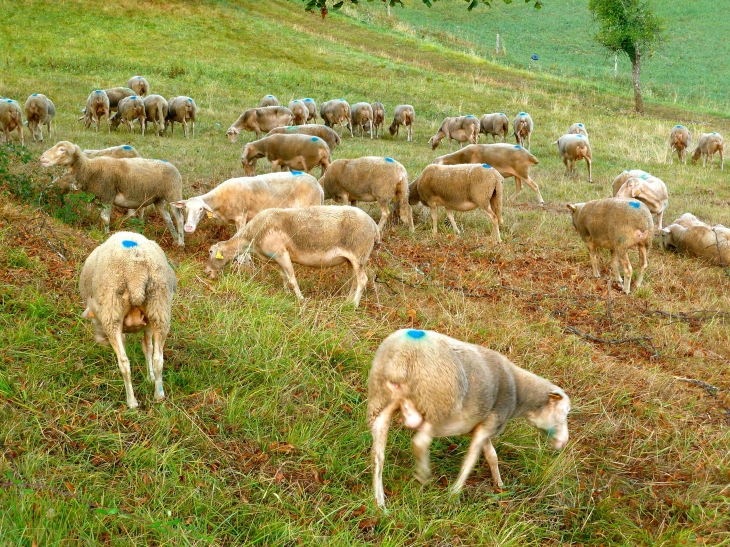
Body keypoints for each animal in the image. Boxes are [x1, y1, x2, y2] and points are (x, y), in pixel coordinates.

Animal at [39, 140, 185, 245]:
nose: (42, 157)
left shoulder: (107, 196)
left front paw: (105, 235)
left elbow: (105, 219)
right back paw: (175, 239)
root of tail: (172, 166)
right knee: (168, 219)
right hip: (158, 199)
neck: (90, 170)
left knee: (180, 219)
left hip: (173, 194)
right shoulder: (98, 198)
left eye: (62, 149)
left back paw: (181, 243)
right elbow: (99, 216)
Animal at [79, 229, 176, 408]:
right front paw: (150, 378)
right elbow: (148, 348)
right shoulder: (148, 325)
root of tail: (135, 273)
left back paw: (132, 402)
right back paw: (158, 395)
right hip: (159, 308)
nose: (100, 341)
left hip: (112, 312)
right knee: (158, 359)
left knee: (124, 363)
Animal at [171, 170, 322, 232]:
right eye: (185, 208)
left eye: (201, 209)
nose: (188, 228)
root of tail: (318, 185)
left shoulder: (240, 218)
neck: (221, 198)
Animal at [203, 206, 378, 308]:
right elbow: (284, 276)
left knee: (363, 280)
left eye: (211, 252)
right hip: (352, 260)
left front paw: (301, 299)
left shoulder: (281, 253)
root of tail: (374, 225)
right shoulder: (278, 257)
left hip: (359, 255)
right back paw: (347, 301)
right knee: (355, 281)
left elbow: (292, 278)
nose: (206, 271)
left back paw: (354, 305)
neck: (251, 236)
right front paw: (286, 293)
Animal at [366, 326, 572, 510]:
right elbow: (471, 460)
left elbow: (492, 456)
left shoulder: (483, 426)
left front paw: (499, 484)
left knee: (377, 455)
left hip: (381, 402)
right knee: (420, 443)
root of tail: (400, 357)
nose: (563, 443)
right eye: (565, 413)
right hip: (437, 406)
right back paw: (423, 476)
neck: (519, 393)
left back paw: (380, 502)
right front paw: (454, 493)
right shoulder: (488, 425)